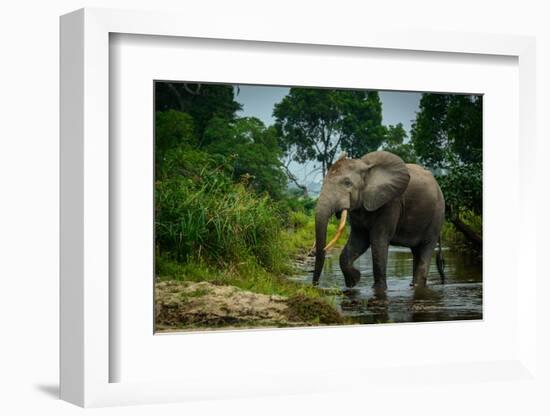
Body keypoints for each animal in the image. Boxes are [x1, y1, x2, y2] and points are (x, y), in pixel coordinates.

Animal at [312, 150, 446, 290]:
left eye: (347, 183)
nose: (315, 285)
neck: (365, 167)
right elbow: (358, 240)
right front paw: (353, 281)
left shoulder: (390, 202)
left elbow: (378, 240)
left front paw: (378, 289)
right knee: (416, 252)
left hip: (437, 215)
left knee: (426, 248)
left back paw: (417, 285)